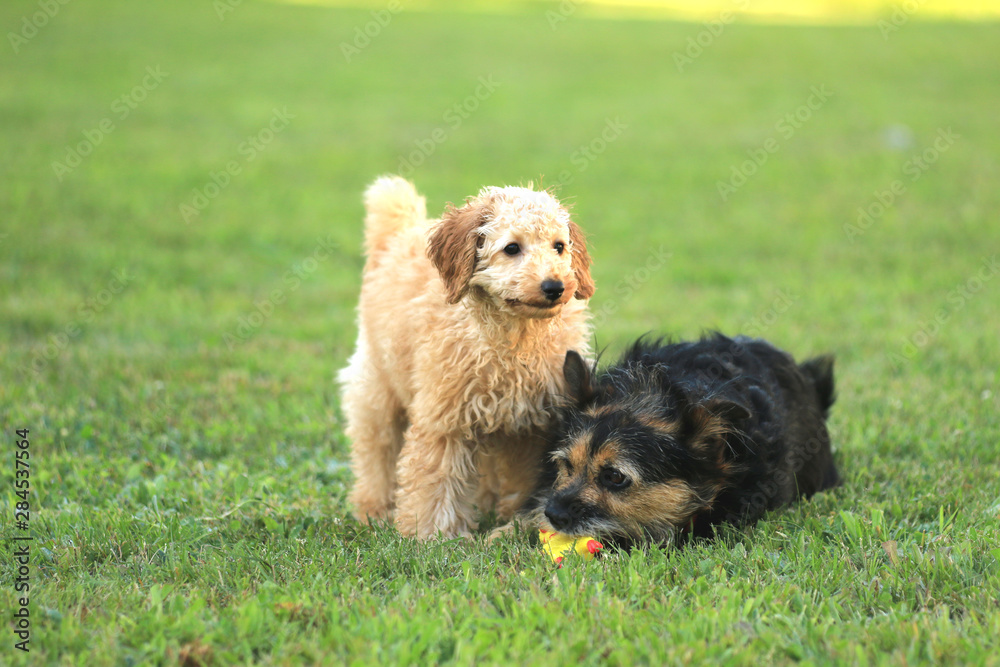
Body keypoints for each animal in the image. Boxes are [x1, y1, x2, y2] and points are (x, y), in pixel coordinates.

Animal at [342, 176, 592, 536]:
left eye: (559, 246)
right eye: (511, 248)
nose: (554, 287)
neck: (513, 339)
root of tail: (399, 233)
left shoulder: (532, 424)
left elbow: (524, 478)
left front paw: (514, 517)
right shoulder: (444, 417)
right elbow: (436, 479)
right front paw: (433, 535)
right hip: (376, 386)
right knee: (377, 450)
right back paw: (373, 509)